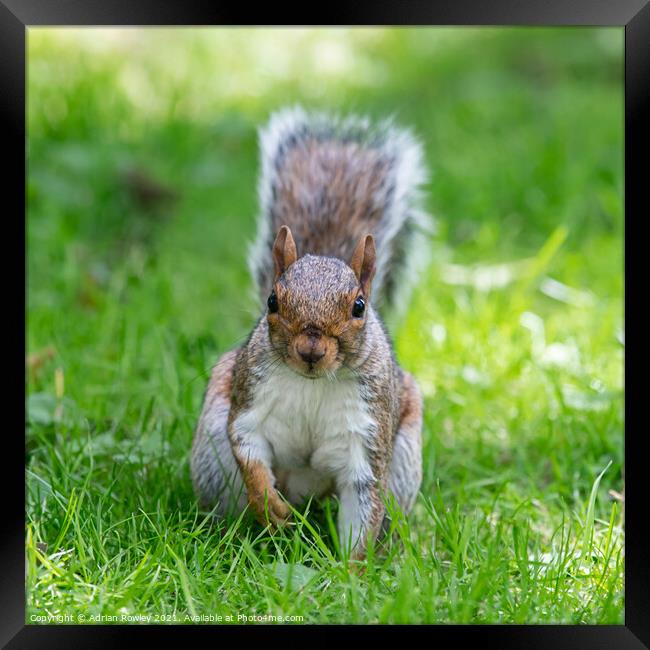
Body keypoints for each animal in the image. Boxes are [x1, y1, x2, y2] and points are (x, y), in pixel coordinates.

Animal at [190, 106, 428, 560]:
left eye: (359, 306)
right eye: (272, 301)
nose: (310, 350)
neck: (313, 384)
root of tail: (307, 493)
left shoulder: (367, 440)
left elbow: (363, 509)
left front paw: (350, 572)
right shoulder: (249, 406)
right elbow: (249, 452)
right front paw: (271, 507)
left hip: (403, 465)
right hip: (212, 450)